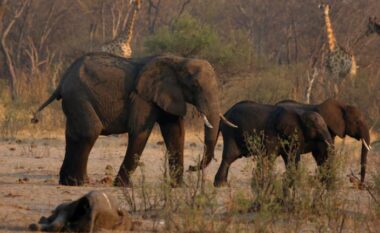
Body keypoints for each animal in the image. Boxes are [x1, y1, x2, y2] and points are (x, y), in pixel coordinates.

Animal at [32, 53, 236, 187]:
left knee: (73, 134)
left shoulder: (168, 95)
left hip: (74, 100)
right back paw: (80, 183)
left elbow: (175, 133)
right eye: (194, 85)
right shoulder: (142, 97)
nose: (193, 167)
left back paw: (67, 182)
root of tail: (62, 81)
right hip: (78, 96)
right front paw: (122, 186)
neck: (179, 60)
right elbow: (140, 132)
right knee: (89, 131)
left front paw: (177, 187)